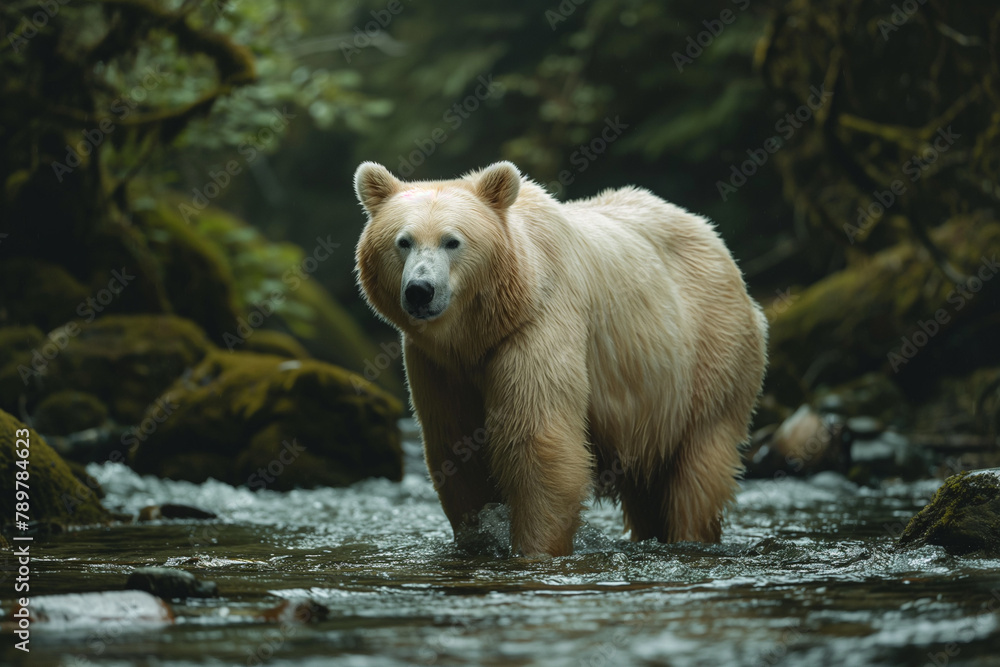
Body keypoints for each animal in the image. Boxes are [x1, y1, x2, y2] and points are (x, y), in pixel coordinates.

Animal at [353, 160, 768, 557]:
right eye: (403, 241)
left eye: (452, 241)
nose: (420, 291)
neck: (478, 332)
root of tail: (713, 238)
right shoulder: (438, 364)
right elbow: (457, 451)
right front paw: (479, 538)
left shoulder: (535, 324)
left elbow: (538, 440)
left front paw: (535, 549)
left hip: (709, 350)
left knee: (699, 466)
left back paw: (691, 534)